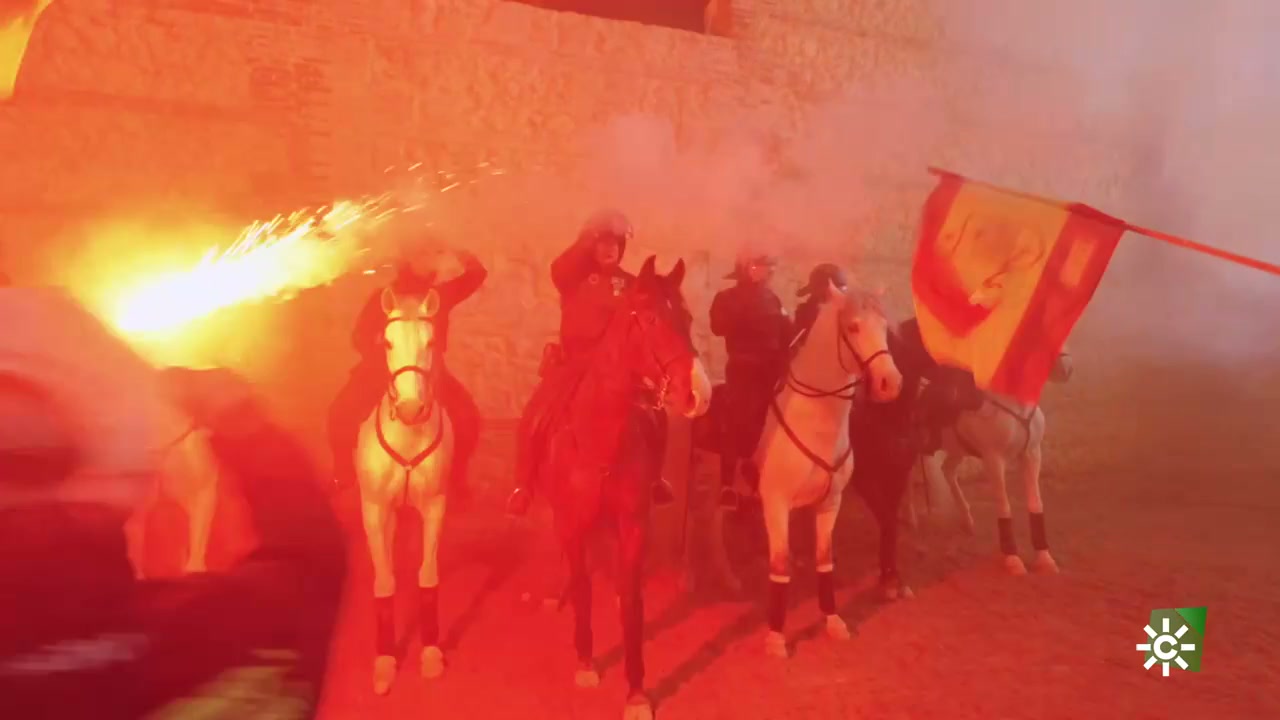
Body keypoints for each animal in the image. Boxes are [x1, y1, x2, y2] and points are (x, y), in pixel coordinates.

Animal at [538, 257, 710, 720]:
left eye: (687, 317)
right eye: (649, 319)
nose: (699, 393)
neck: (601, 439)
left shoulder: (632, 525)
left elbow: (632, 602)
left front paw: (636, 690)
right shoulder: (573, 525)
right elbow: (583, 588)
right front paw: (585, 662)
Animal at [754, 278, 903, 659]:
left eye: (884, 327)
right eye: (853, 327)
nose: (890, 383)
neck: (815, 421)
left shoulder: (829, 502)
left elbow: (824, 559)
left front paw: (833, 620)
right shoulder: (775, 503)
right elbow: (779, 564)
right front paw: (775, 636)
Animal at [911, 350, 1074, 575]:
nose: (1066, 369)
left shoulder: (1032, 454)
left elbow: (1036, 502)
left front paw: (1044, 559)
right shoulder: (994, 460)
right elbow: (1004, 505)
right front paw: (1012, 559)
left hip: (958, 449)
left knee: (948, 470)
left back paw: (967, 521)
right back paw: (912, 521)